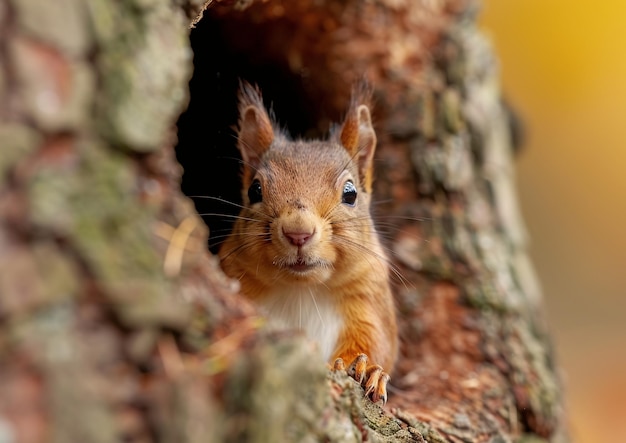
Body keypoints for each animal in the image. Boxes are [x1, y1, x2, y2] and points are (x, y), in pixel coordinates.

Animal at [218, 81, 394, 404]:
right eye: (254, 190)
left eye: (350, 193)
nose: (298, 232)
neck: (302, 290)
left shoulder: (367, 295)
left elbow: (375, 340)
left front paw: (368, 370)